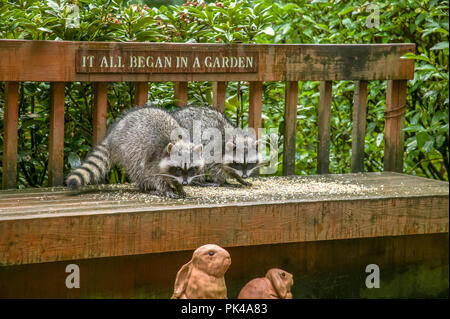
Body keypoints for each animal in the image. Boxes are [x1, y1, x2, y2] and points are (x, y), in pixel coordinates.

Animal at [66, 107, 203, 198]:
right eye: (178, 169)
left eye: (191, 169)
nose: (185, 183)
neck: (175, 141)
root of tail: (113, 135)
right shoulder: (153, 158)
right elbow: (153, 175)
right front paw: (166, 189)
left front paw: (179, 187)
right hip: (129, 148)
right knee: (138, 168)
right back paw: (146, 187)